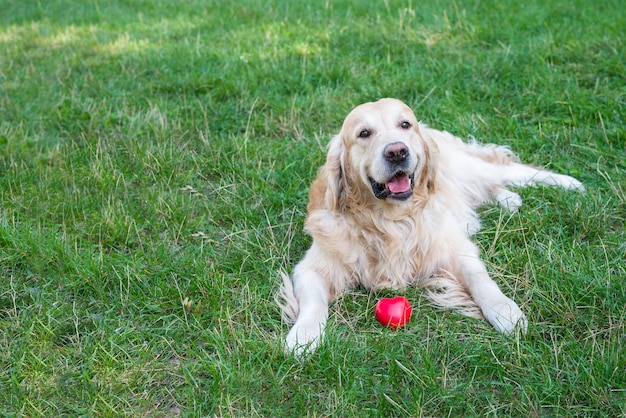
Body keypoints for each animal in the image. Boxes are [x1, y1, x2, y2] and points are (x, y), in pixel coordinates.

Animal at [278, 99, 580, 356]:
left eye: (404, 124)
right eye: (364, 133)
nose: (397, 151)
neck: (391, 221)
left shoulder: (455, 249)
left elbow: (479, 279)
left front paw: (505, 311)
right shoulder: (312, 267)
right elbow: (314, 303)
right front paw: (304, 335)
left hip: (468, 167)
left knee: (509, 169)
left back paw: (570, 183)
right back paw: (509, 198)